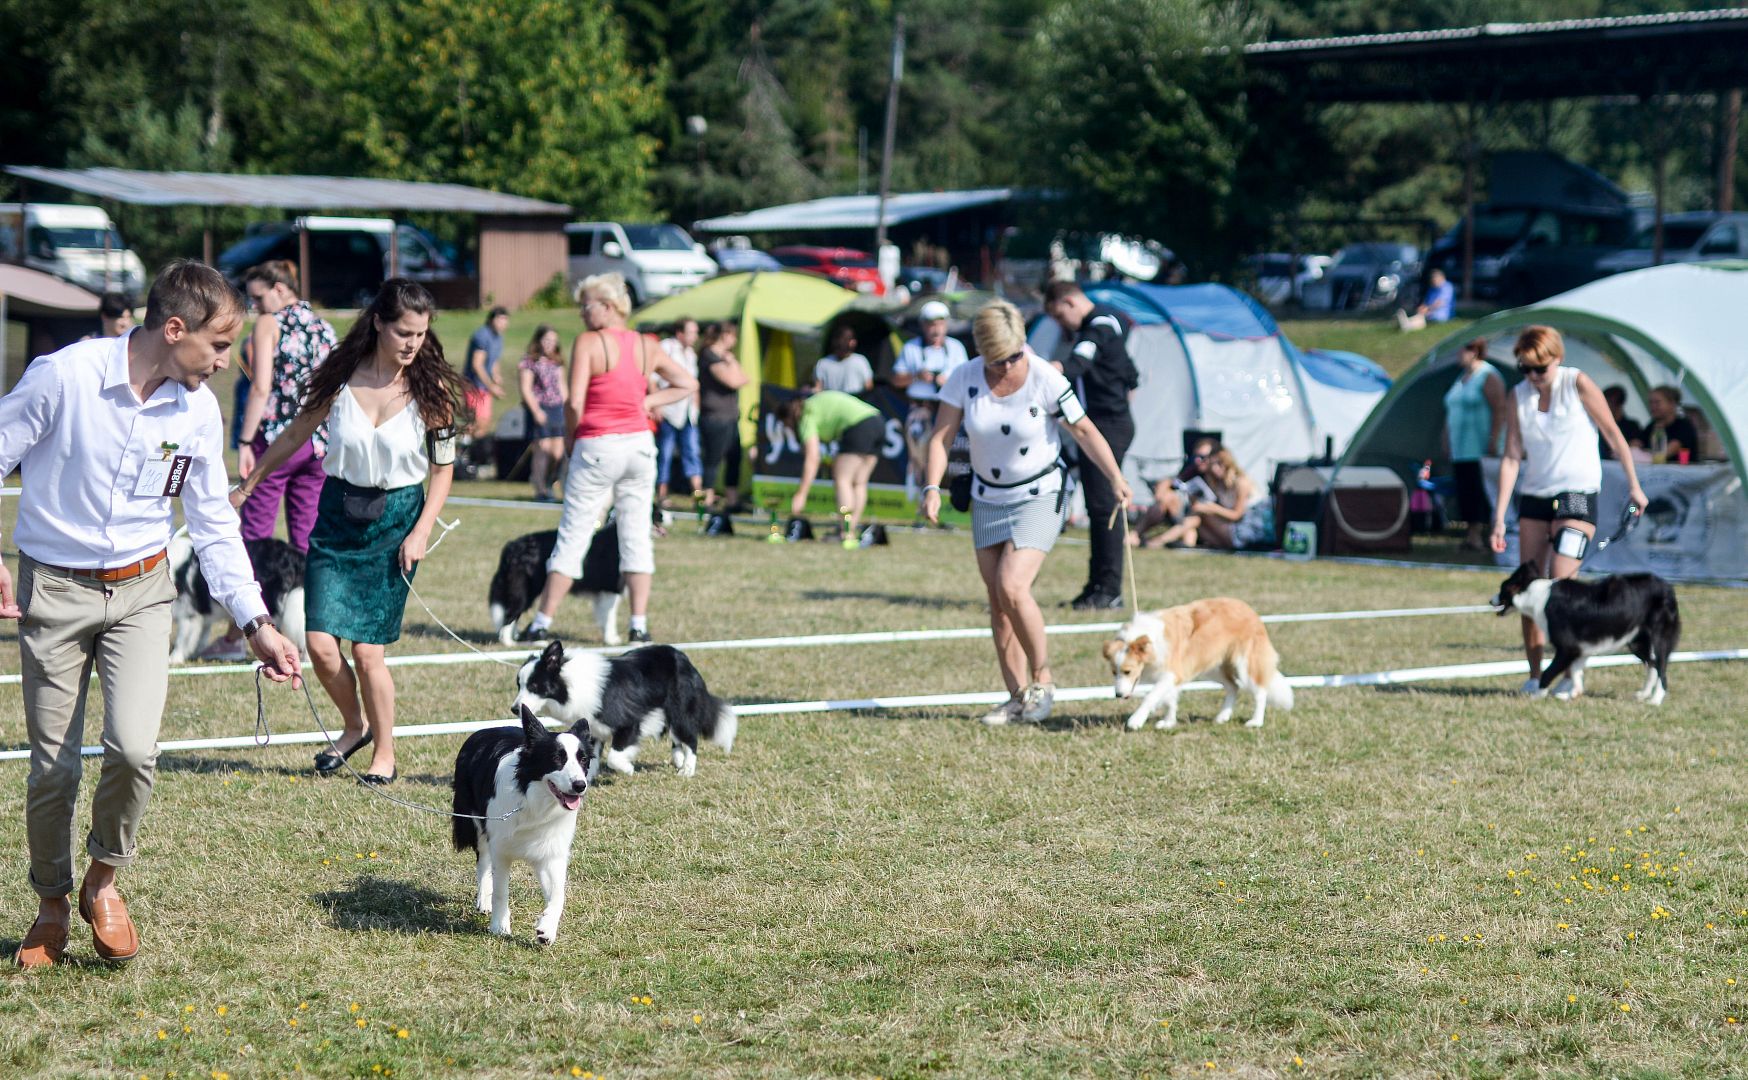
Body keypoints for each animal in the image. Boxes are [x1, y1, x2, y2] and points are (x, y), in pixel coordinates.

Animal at [454, 702, 597, 936]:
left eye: (583, 759)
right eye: (557, 758)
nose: (579, 786)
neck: (533, 802)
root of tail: (483, 731)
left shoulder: (551, 851)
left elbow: (558, 894)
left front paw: (546, 929)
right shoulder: (500, 846)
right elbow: (500, 889)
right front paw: (499, 926)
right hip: (476, 819)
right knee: (483, 859)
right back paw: (483, 900)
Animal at [513, 639, 741, 772]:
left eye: (534, 686)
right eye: (519, 685)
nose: (514, 709)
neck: (571, 684)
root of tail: (684, 658)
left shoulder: (629, 722)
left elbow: (614, 757)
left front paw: (628, 769)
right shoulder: (593, 728)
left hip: (680, 710)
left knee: (690, 738)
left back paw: (687, 770)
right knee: (677, 739)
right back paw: (678, 760)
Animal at [1489, 559, 1678, 702]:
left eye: (1502, 588)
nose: (1491, 600)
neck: (1535, 594)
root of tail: (1667, 587)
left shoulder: (1567, 648)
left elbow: (1548, 672)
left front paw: (1537, 695)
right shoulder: (1580, 649)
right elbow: (1576, 672)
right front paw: (1571, 694)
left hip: (1659, 638)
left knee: (1661, 668)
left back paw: (1655, 700)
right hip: (1636, 641)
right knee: (1652, 665)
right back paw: (1644, 694)